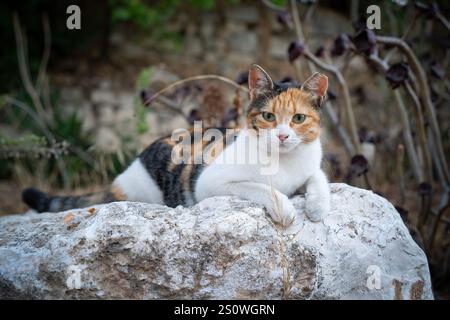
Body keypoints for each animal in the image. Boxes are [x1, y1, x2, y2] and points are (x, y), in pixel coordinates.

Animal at [22, 64, 330, 225]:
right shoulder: (210, 183)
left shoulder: (310, 167)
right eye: (268, 117)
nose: (282, 136)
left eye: (298, 118)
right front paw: (285, 208)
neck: (284, 161)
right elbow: (261, 187)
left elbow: (319, 179)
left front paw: (316, 207)